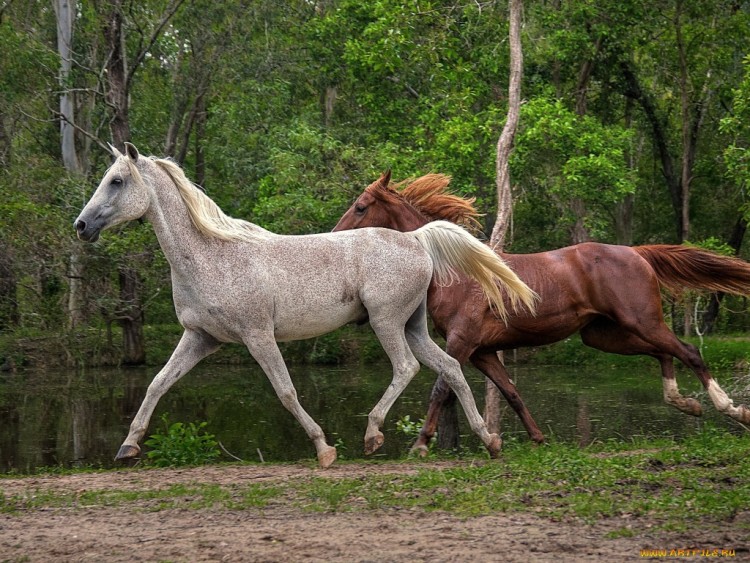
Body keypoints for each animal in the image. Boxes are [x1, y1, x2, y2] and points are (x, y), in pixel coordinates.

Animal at [73, 143, 536, 470]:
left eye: (117, 181)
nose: (81, 225)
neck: (210, 255)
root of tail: (416, 238)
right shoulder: (201, 338)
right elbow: (157, 383)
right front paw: (128, 446)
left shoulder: (257, 336)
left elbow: (286, 391)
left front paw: (324, 449)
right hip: (413, 326)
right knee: (451, 368)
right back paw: (489, 442)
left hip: (386, 323)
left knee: (407, 367)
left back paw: (373, 436)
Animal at [336, 172, 750, 454]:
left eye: (361, 206)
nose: (334, 233)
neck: (455, 268)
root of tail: (637, 253)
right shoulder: (484, 351)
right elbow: (511, 393)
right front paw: (536, 438)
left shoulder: (462, 341)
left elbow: (442, 388)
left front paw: (421, 444)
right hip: (605, 335)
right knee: (665, 352)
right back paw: (684, 402)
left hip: (640, 321)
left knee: (688, 351)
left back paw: (729, 407)